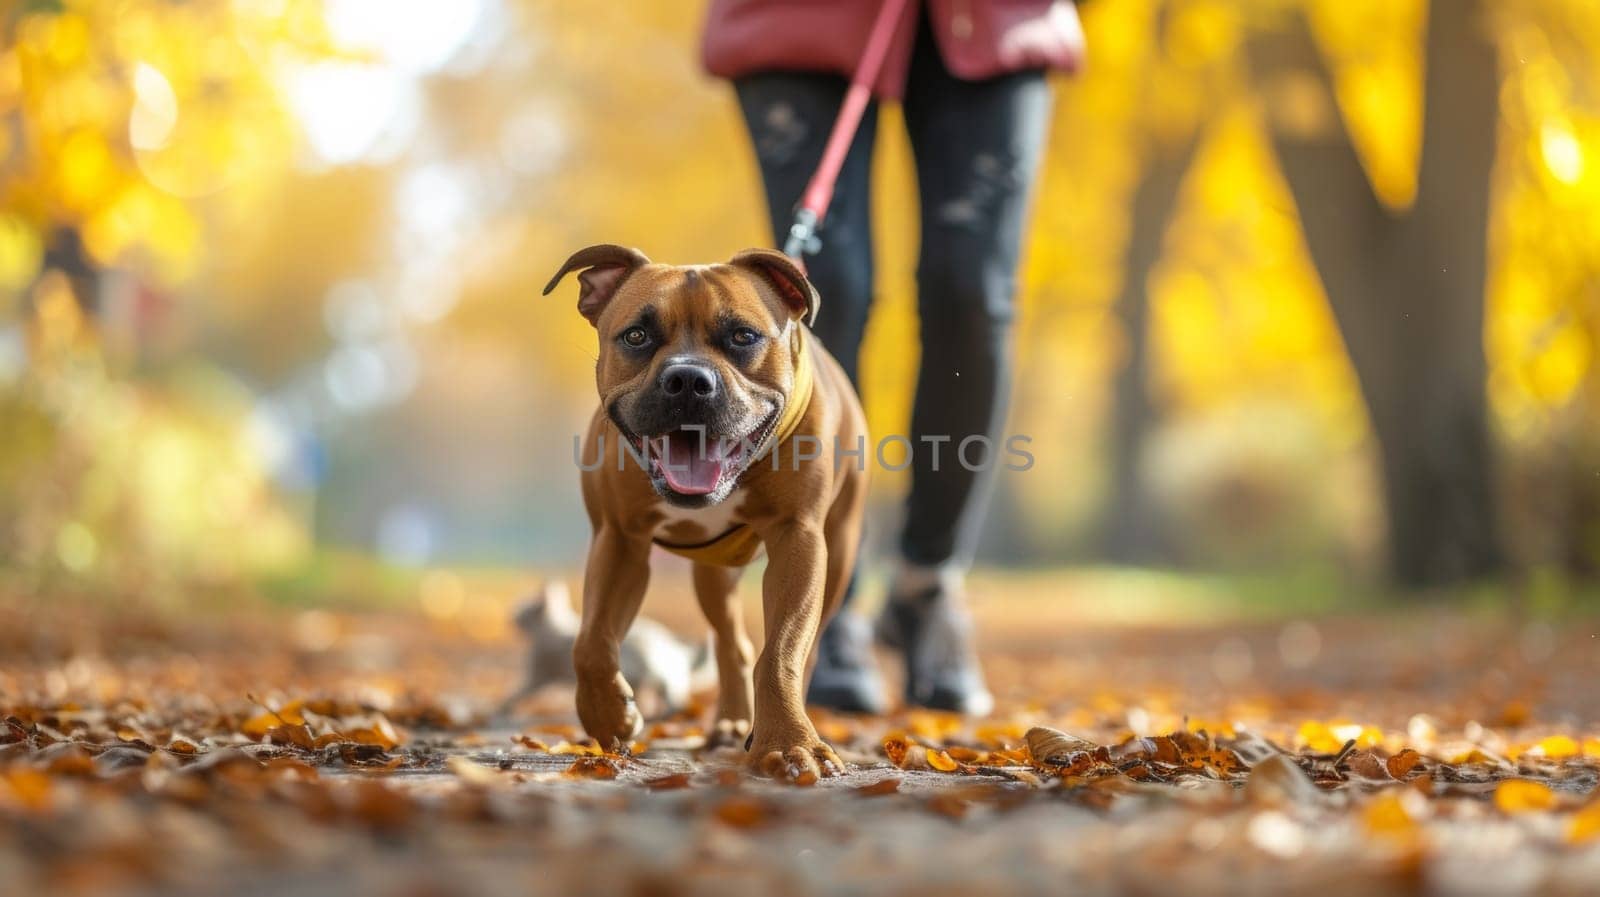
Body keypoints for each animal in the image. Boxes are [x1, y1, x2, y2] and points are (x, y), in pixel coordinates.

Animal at [544, 243, 870, 777]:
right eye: (636, 336)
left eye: (743, 336)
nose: (688, 379)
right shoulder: (619, 540)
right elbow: (591, 641)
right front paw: (609, 715)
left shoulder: (799, 540)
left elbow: (782, 649)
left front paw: (789, 743)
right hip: (712, 574)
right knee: (731, 641)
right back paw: (732, 723)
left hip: (838, 554)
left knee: (805, 645)